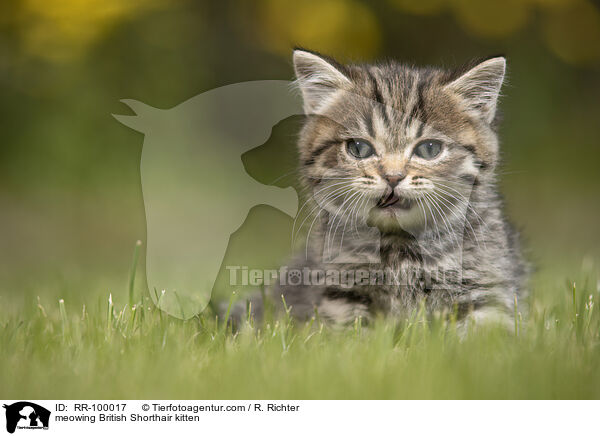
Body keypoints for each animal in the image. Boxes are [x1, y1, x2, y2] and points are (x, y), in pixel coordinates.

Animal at [241, 48, 528, 328]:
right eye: (359, 148)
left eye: (429, 149)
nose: (393, 176)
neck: (400, 249)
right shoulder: (341, 293)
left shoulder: (486, 288)